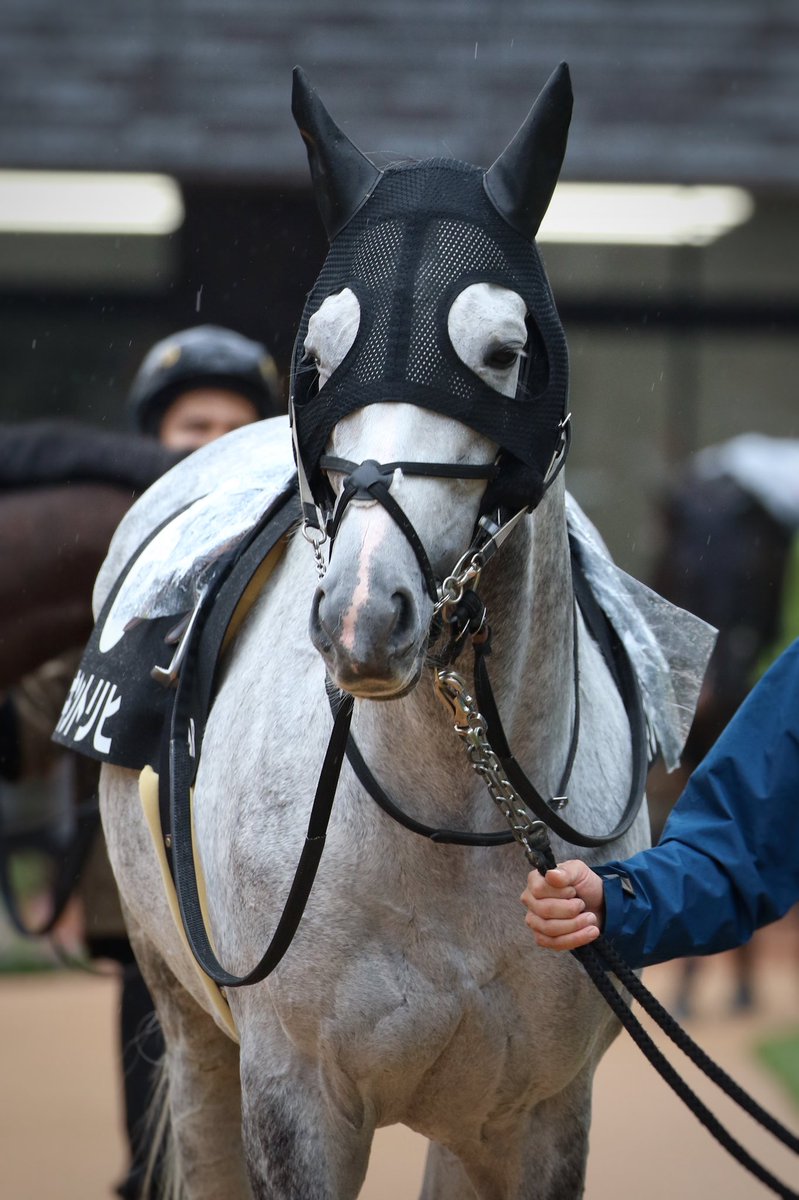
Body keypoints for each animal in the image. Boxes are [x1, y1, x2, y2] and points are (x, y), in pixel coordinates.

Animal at [96, 66, 659, 1199]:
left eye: (504, 352)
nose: (363, 612)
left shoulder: (532, 1117)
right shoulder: (296, 1104)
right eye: (315, 358)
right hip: (189, 1024)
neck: (451, 812)